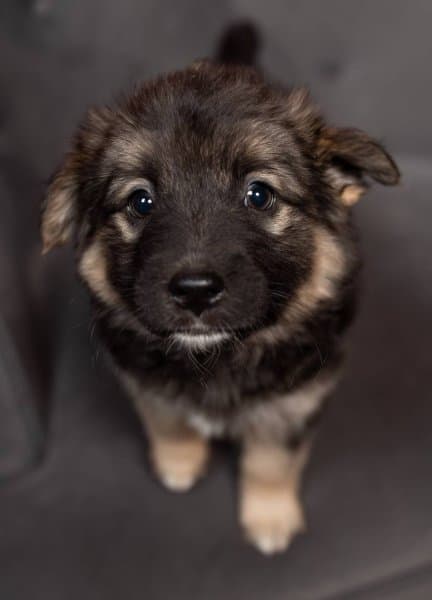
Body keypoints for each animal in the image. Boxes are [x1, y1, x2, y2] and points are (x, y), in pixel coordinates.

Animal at [41, 23, 399, 554]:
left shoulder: (296, 399)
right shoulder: (142, 377)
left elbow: (270, 459)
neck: (216, 358)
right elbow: (167, 421)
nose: (194, 290)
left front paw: (269, 517)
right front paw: (179, 464)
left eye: (259, 195)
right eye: (141, 202)